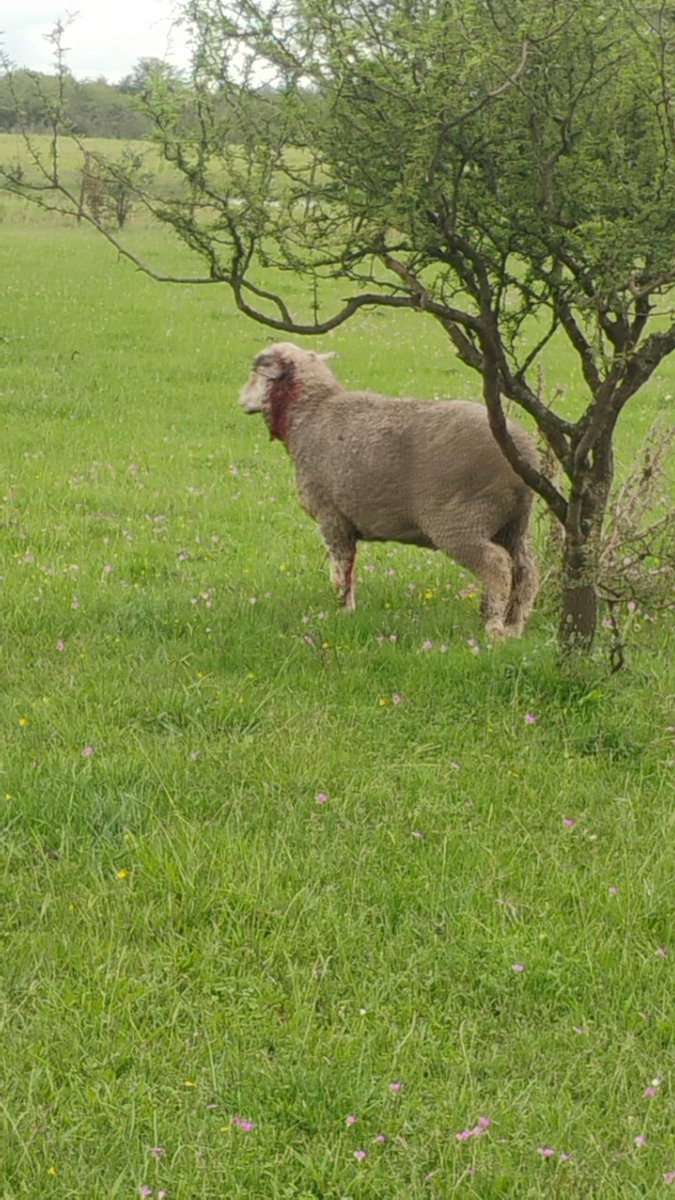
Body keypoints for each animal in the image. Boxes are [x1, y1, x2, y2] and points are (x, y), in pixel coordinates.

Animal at [239, 342, 539, 637]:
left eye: (256, 372)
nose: (240, 399)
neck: (310, 415)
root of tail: (522, 456)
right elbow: (349, 567)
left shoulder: (332, 515)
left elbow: (340, 569)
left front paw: (344, 610)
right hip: (512, 524)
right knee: (525, 571)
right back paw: (514, 627)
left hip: (462, 521)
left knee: (497, 565)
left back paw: (493, 629)